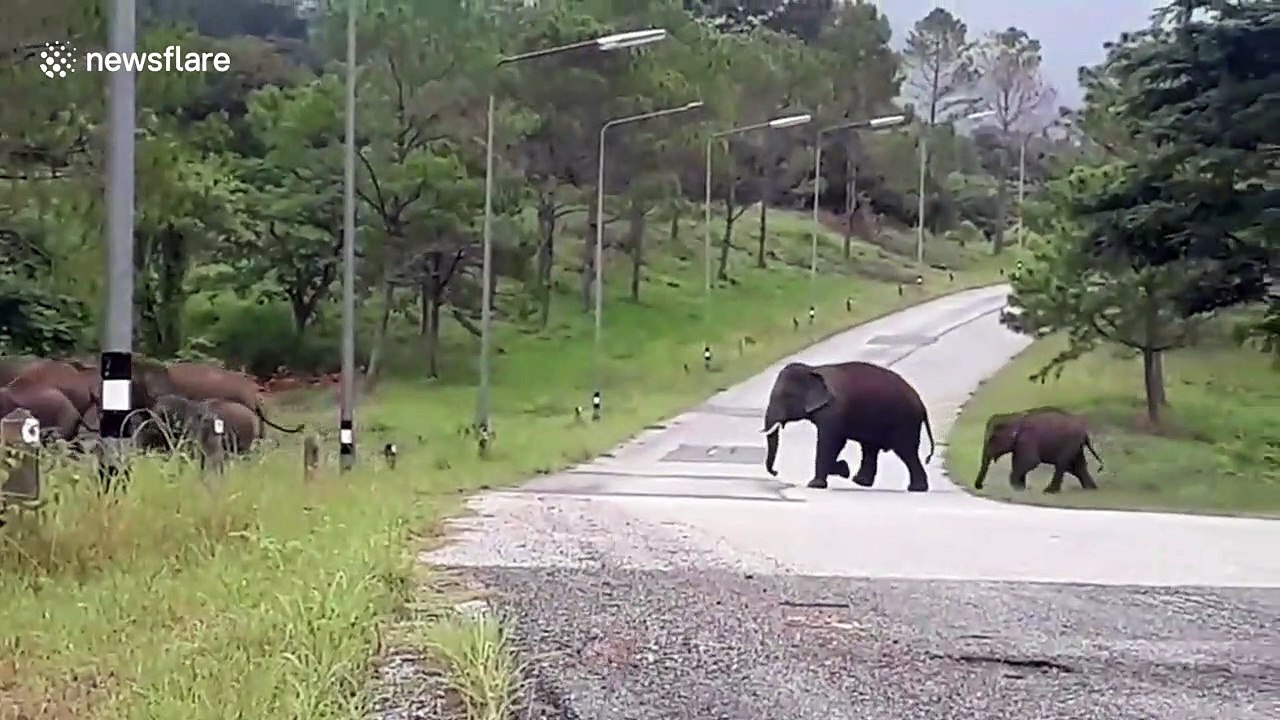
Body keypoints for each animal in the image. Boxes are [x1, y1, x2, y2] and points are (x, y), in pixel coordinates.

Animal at [762, 361, 937, 491]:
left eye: (786, 396)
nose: (776, 472)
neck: (813, 369)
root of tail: (922, 405)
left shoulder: (834, 411)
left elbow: (831, 442)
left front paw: (816, 484)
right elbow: (835, 444)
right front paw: (844, 470)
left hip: (905, 422)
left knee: (906, 452)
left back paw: (916, 488)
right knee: (871, 448)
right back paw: (860, 481)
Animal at [973, 406, 1104, 493]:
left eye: (990, 440)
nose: (980, 486)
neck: (1012, 416)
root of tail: (1084, 432)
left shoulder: (1027, 440)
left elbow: (1030, 462)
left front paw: (1017, 487)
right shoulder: (1019, 445)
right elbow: (1018, 462)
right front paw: (1021, 488)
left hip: (1070, 443)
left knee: (1063, 465)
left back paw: (1049, 491)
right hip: (1075, 446)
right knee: (1077, 467)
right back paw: (1091, 488)